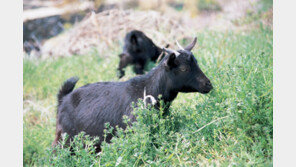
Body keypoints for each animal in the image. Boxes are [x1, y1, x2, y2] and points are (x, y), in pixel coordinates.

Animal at [53, 37, 213, 151]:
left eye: (196, 62)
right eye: (184, 69)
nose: (208, 84)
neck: (148, 89)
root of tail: (63, 99)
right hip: (65, 139)